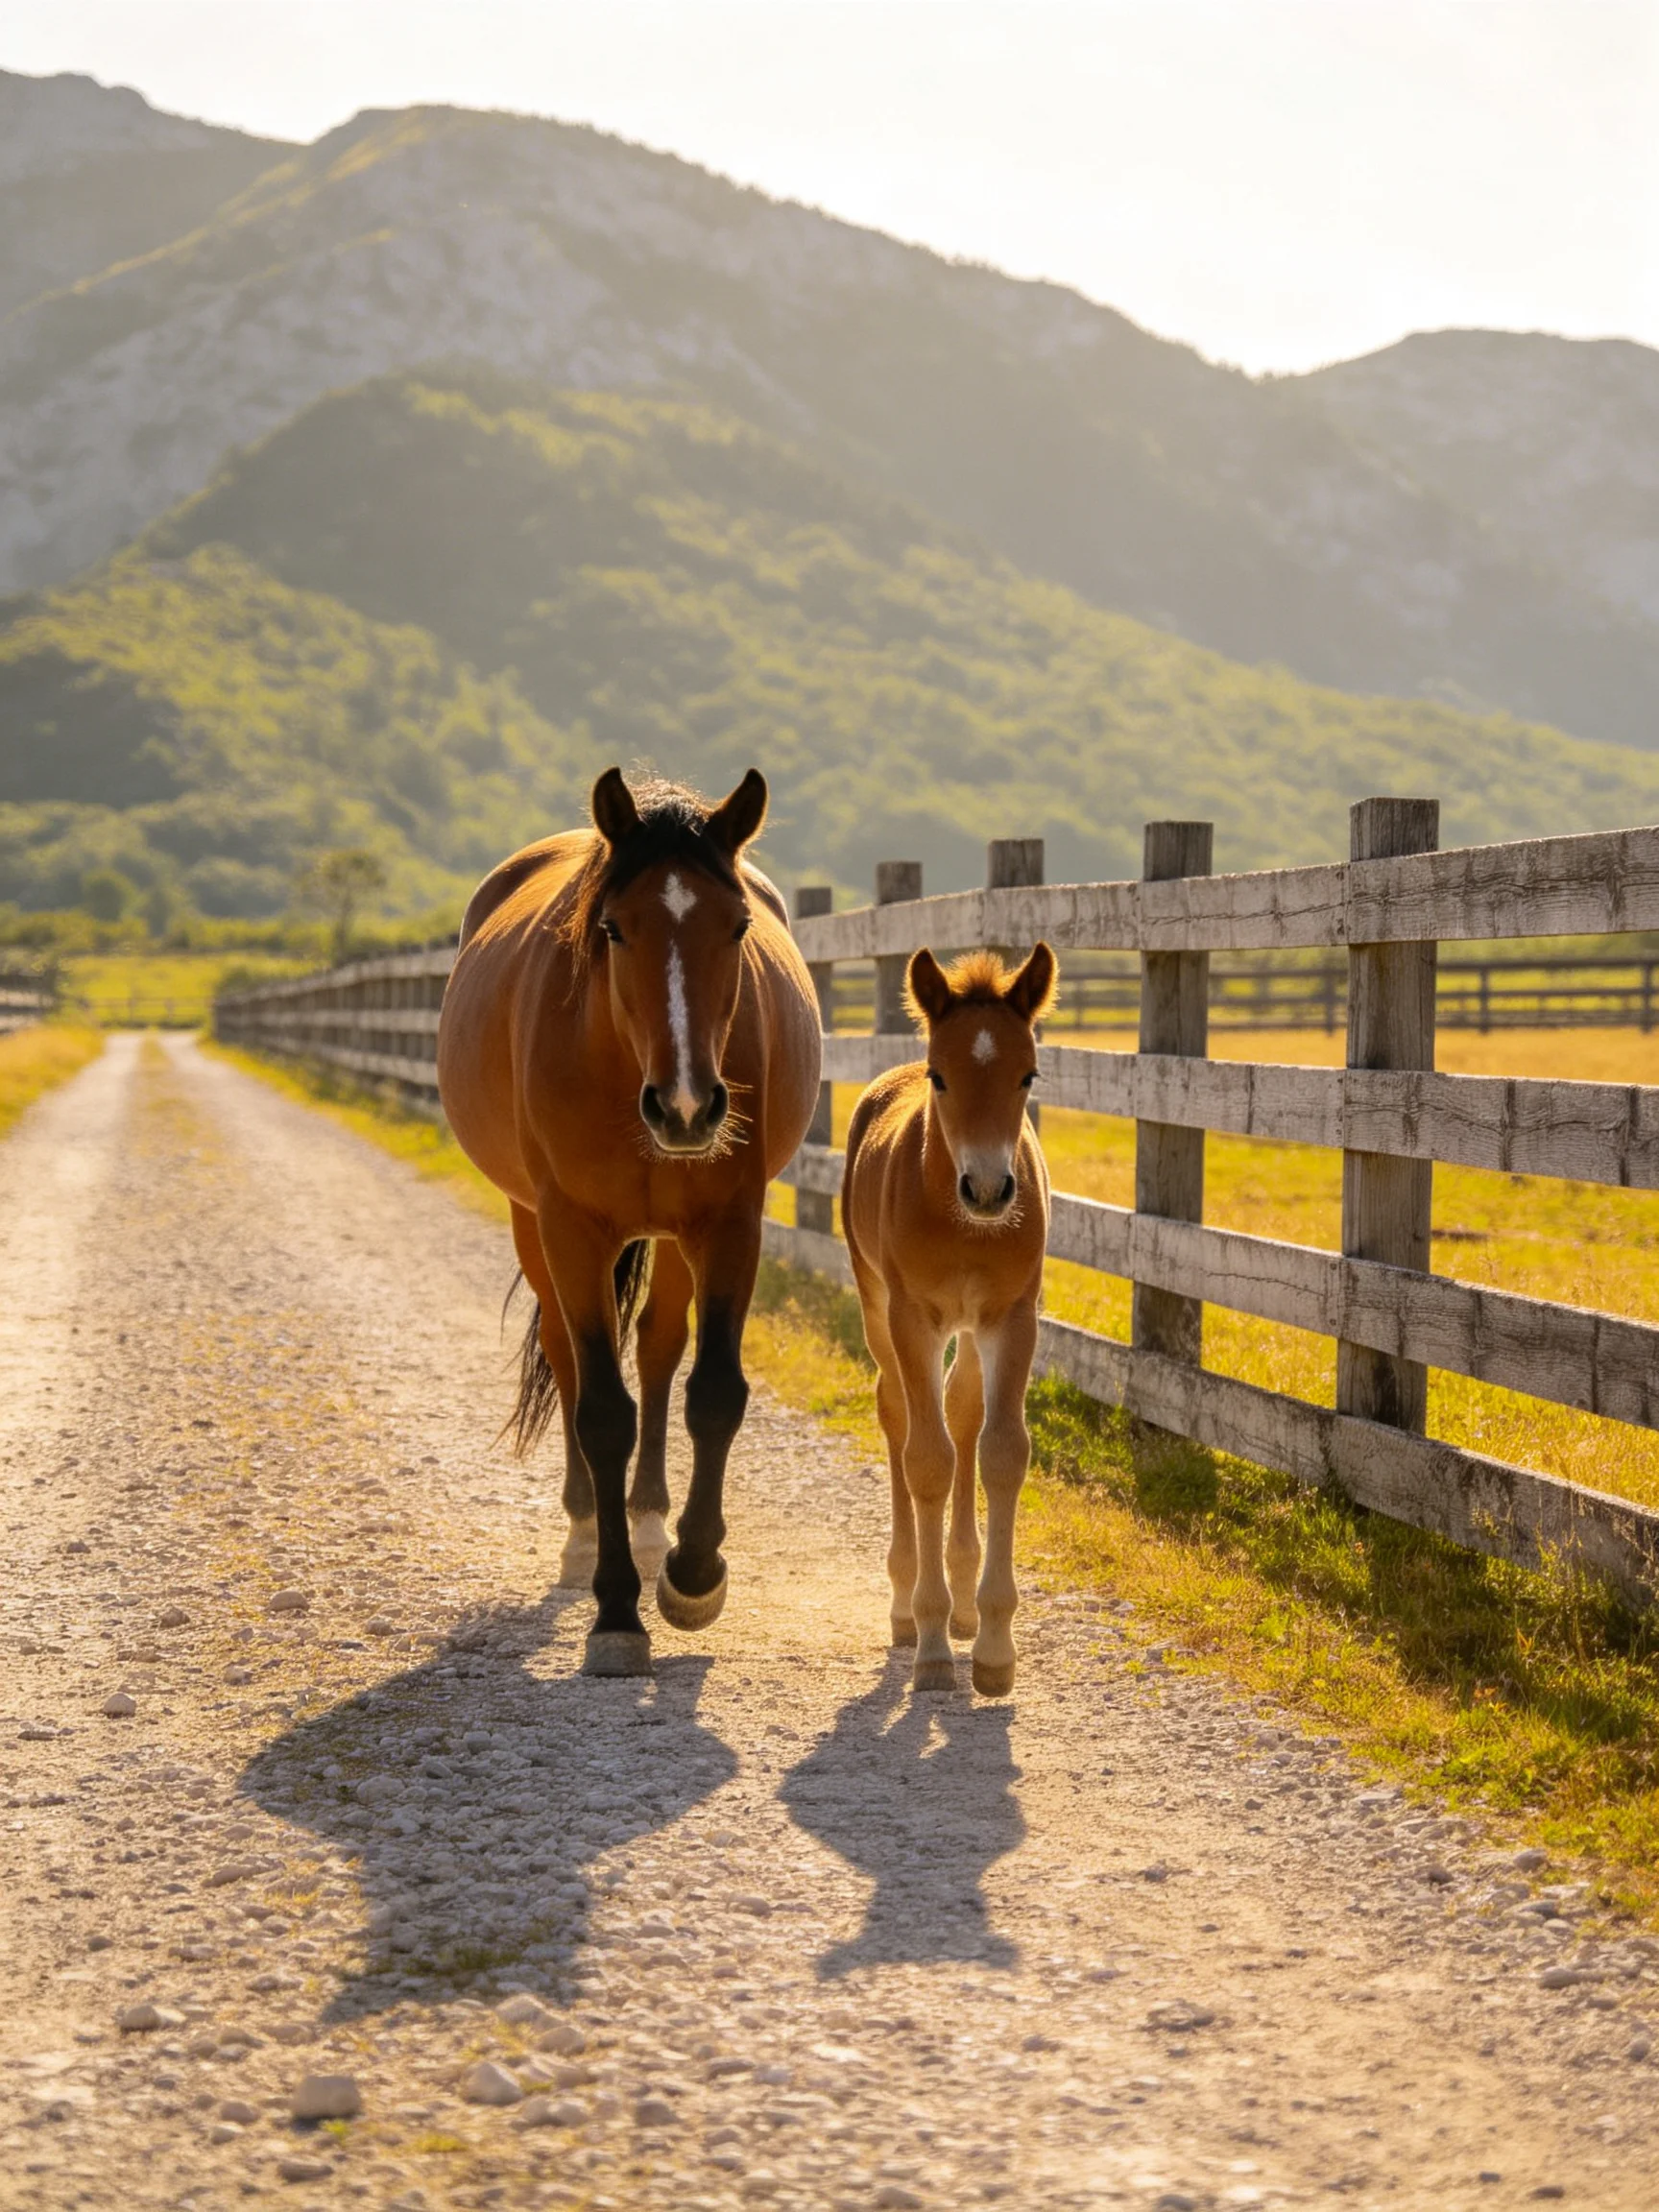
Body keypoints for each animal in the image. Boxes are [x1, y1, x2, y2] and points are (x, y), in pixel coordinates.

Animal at [437, 768, 821, 1677]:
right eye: (613, 928)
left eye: (738, 925)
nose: (686, 1107)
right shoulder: (572, 1230)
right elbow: (601, 1411)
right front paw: (615, 1610)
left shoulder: (730, 1223)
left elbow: (712, 1392)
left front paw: (693, 1573)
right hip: (533, 1223)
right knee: (572, 1361)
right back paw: (587, 1534)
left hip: (673, 1236)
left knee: (655, 1350)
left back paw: (649, 1523)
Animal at [842, 943, 1057, 1696]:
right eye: (941, 1076)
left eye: (1028, 1074)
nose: (989, 1189)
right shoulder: (913, 1317)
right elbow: (927, 1458)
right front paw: (932, 1646)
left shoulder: (1012, 1317)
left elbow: (1001, 1452)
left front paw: (992, 1646)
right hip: (876, 1302)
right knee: (897, 1411)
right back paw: (908, 1605)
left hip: (968, 1328)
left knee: (962, 1409)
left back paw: (963, 1603)